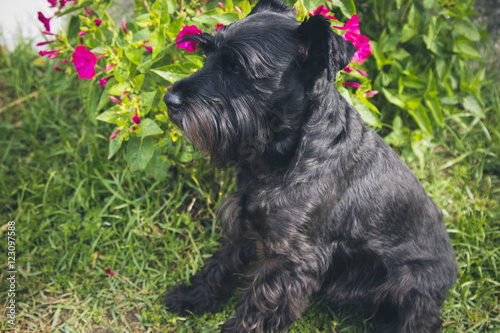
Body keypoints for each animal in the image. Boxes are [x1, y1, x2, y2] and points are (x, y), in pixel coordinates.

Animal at [164, 0, 458, 330]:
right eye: (207, 55)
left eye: (237, 66)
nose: (170, 99)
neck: (282, 153)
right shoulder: (246, 223)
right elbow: (221, 264)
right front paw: (194, 297)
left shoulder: (291, 258)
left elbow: (259, 308)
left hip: (412, 281)